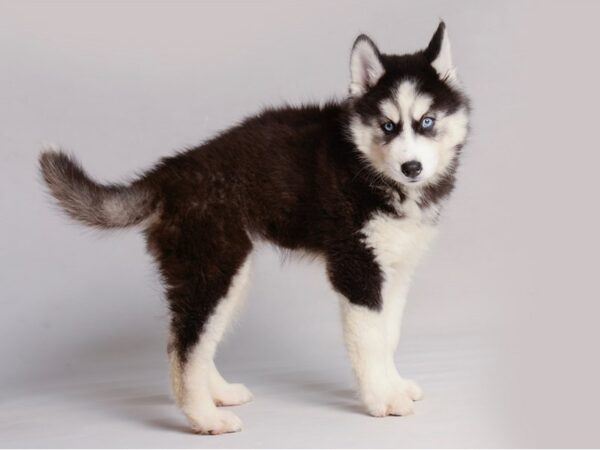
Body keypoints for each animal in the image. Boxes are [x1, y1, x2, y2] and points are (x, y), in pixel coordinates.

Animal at [39, 22, 472, 434]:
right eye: (387, 126)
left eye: (427, 122)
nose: (411, 168)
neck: (366, 166)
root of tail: (168, 173)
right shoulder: (356, 268)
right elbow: (369, 343)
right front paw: (381, 399)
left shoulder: (394, 272)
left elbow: (387, 337)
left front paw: (394, 385)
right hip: (213, 268)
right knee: (184, 347)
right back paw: (204, 418)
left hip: (231, 272)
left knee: (190, 341)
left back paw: (217, 394)